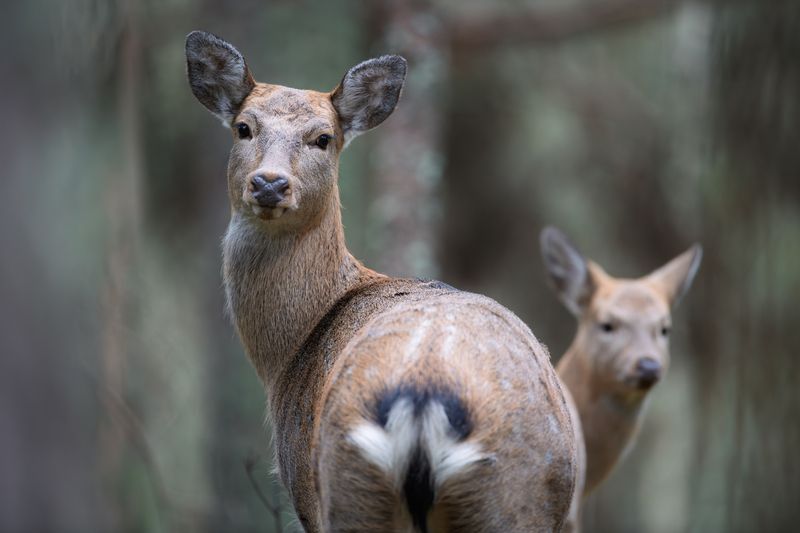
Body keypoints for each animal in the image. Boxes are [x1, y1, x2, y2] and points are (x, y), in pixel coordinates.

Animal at [186, 31, 579, 532]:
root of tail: (423, 401)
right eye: (243, 128)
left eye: (323, 138)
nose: (270, 183)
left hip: (351, 485)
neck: (290, 354)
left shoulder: (304, 491)